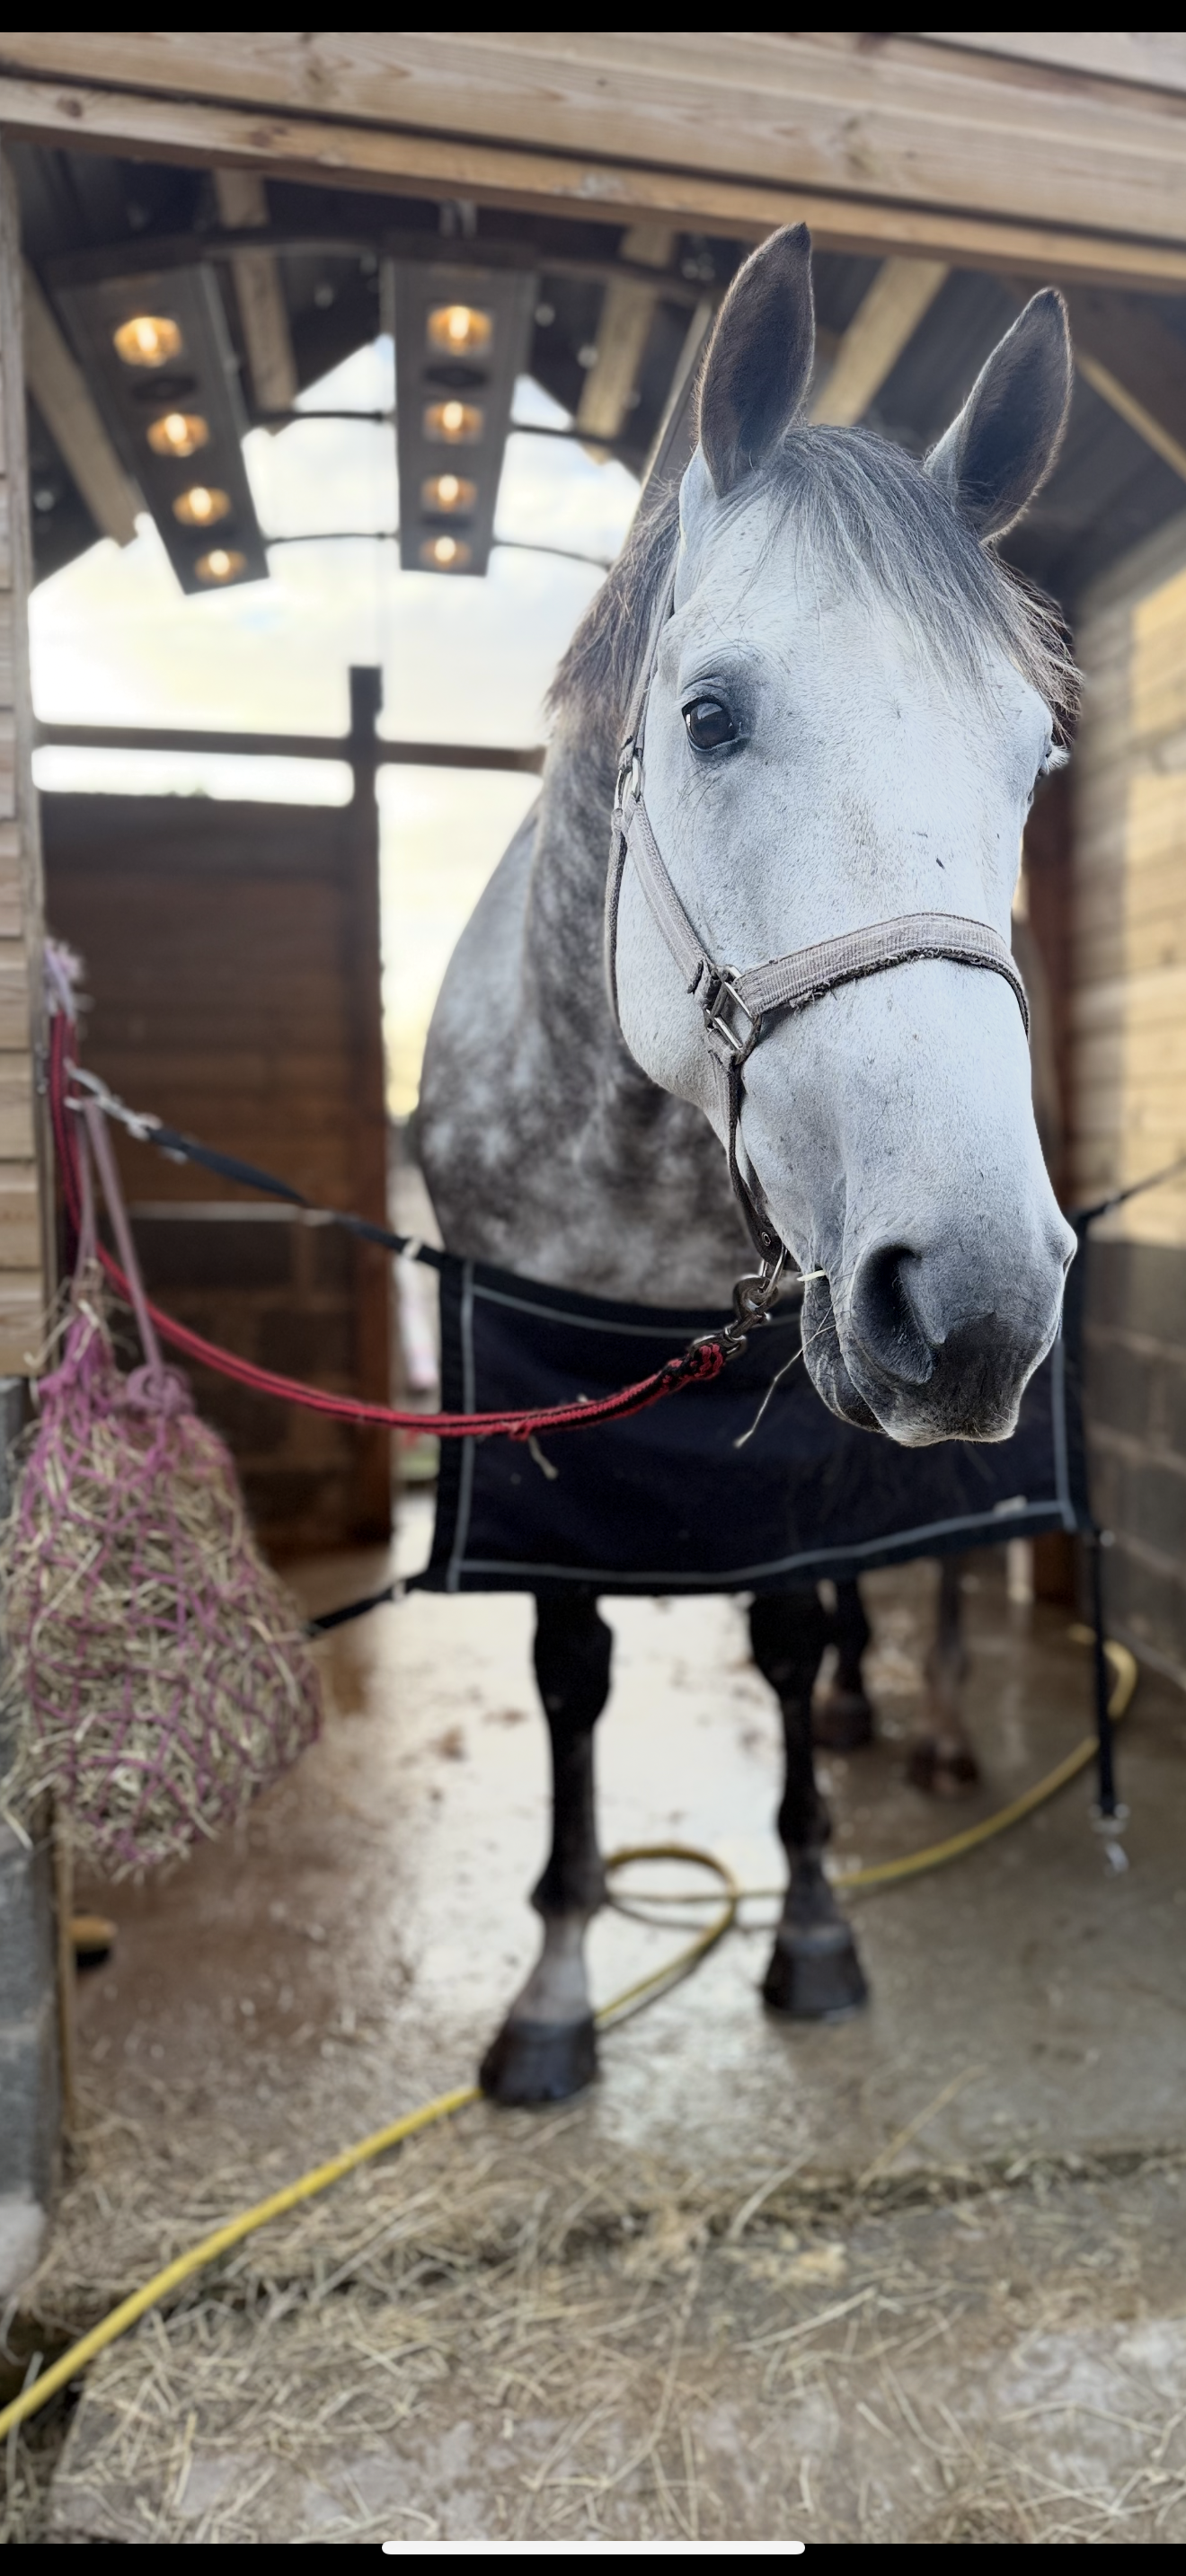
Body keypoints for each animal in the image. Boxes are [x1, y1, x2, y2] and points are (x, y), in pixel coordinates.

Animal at [418, 224, 1077, 2106]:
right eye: (709, 715)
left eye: (1039, 756)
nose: (979, 1295)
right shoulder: (542, 1416)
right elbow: (572, 1665)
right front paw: (557, 1987)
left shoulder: (782, 1405)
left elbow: (790, 1619)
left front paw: (815, 1926)